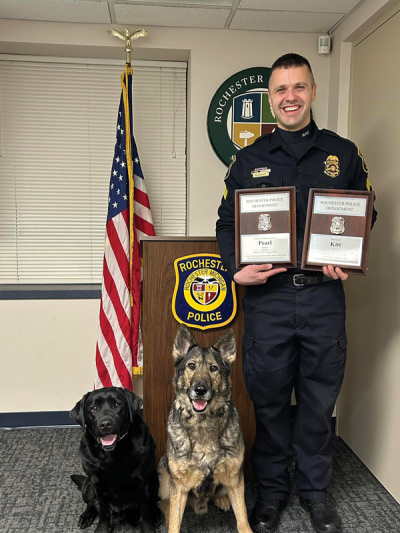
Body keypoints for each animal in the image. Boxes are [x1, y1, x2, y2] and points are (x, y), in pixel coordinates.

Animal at [70, 386, 161, 532]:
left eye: (117, 405)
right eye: (94, 408)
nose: (105, 424)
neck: (114, 454)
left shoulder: (143, 483)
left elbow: (146, 512)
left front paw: (148, 528)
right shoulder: (98, 484)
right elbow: (103, 512)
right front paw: (102, 529)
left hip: (154, 479)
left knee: (154, 501)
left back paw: (157, 514)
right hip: (88, 486)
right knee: (91, 504)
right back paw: (86, 516)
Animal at [158, 324, 252, 532]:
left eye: (213, 368)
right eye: (191, 366)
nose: (200, 390)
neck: (203, 422)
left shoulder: (235, 477)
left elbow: (242, 517)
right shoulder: (179, 485)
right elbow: (175, 521)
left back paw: (222, 498)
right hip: (164, 473)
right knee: (164, 503)